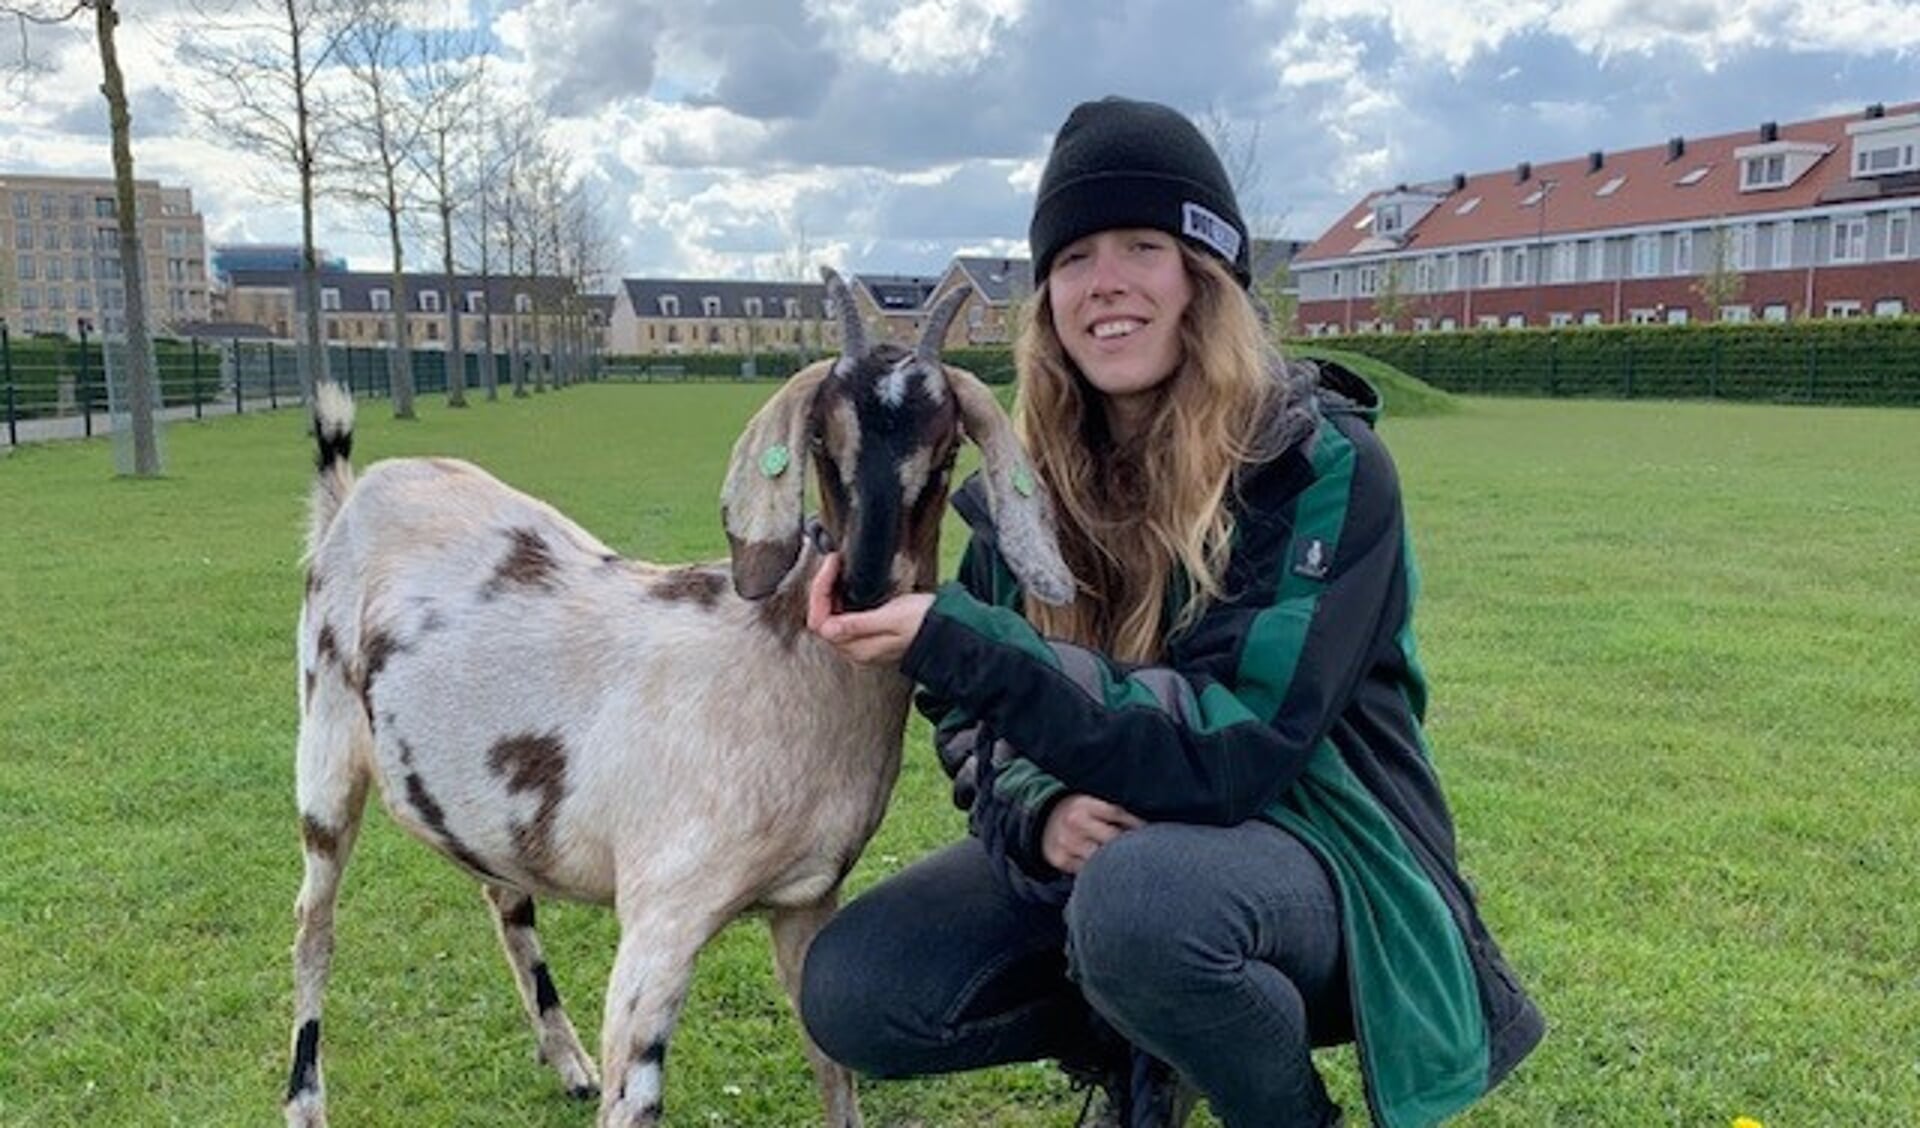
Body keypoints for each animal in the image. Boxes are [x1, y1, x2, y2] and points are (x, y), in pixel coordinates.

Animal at [282, 266, 1075, 1128]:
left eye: (945, 448)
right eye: (821, 443)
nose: (864, 588)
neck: (779, 667)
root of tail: (354, 496)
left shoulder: (807, 901)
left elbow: (833, 1070)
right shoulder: (660, 918)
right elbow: (637, 1099)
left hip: (472, 793)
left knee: (503, 895)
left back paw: (566, 1060)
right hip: (324, 750)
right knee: (315, 925)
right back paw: (305, 1102)